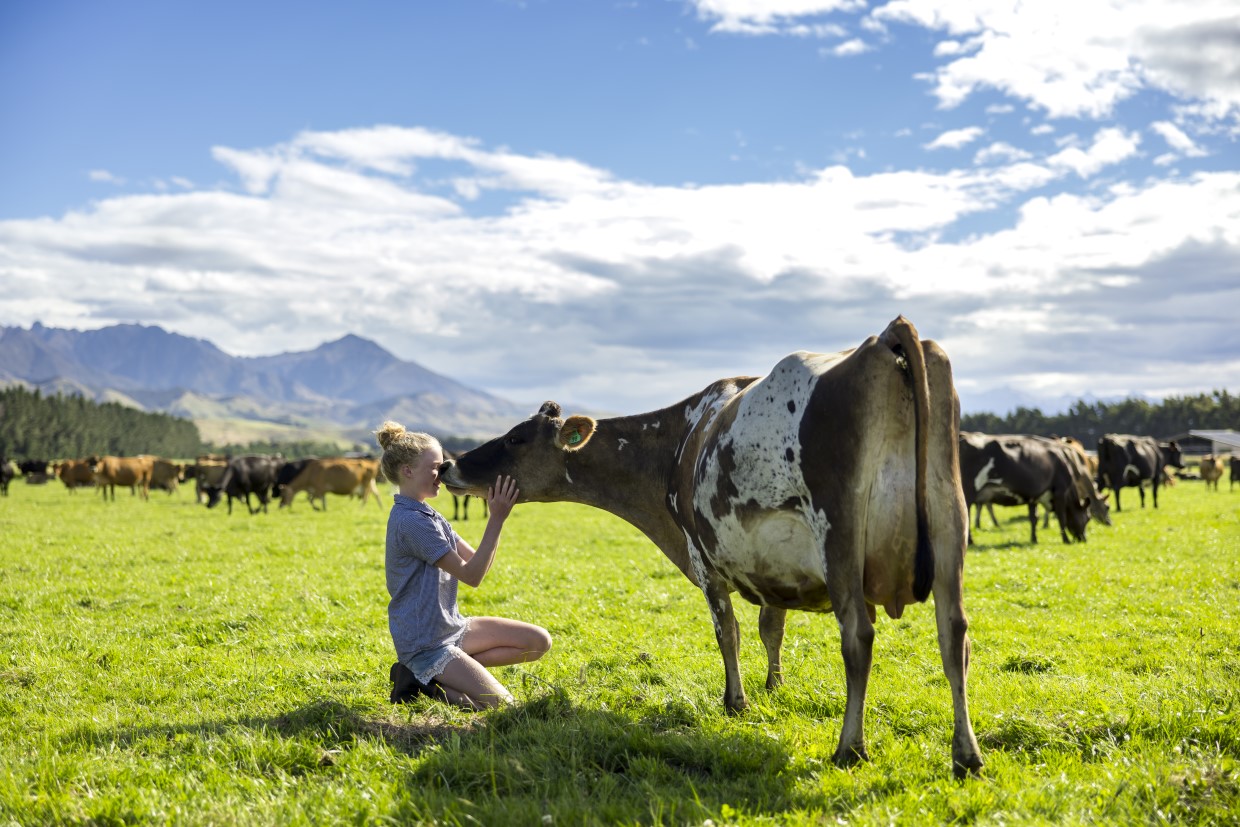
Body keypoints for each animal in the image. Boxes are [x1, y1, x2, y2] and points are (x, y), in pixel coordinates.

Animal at [441, 314, 982, 778]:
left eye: (516, 438)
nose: (450, 464)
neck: (676, 446)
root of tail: (885, 337)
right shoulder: (770, 566)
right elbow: (770, 628)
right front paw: (774, 686)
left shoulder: (705, 561)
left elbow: (729, 633)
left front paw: (736, 701)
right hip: (949, 522)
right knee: (954, 634)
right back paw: (966, 754)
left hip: (841, 537)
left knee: (859, 638)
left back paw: (850, 748)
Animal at [957, 431, 1116, 545]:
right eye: (1088, 518)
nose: (1083, 539)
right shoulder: (1060, 491)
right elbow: (1061, 517)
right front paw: (1065, 540)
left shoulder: (1034, 495)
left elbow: (1034, 518)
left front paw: (1034, 539)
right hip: (970, 490)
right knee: (966, 513)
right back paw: (970, 540)